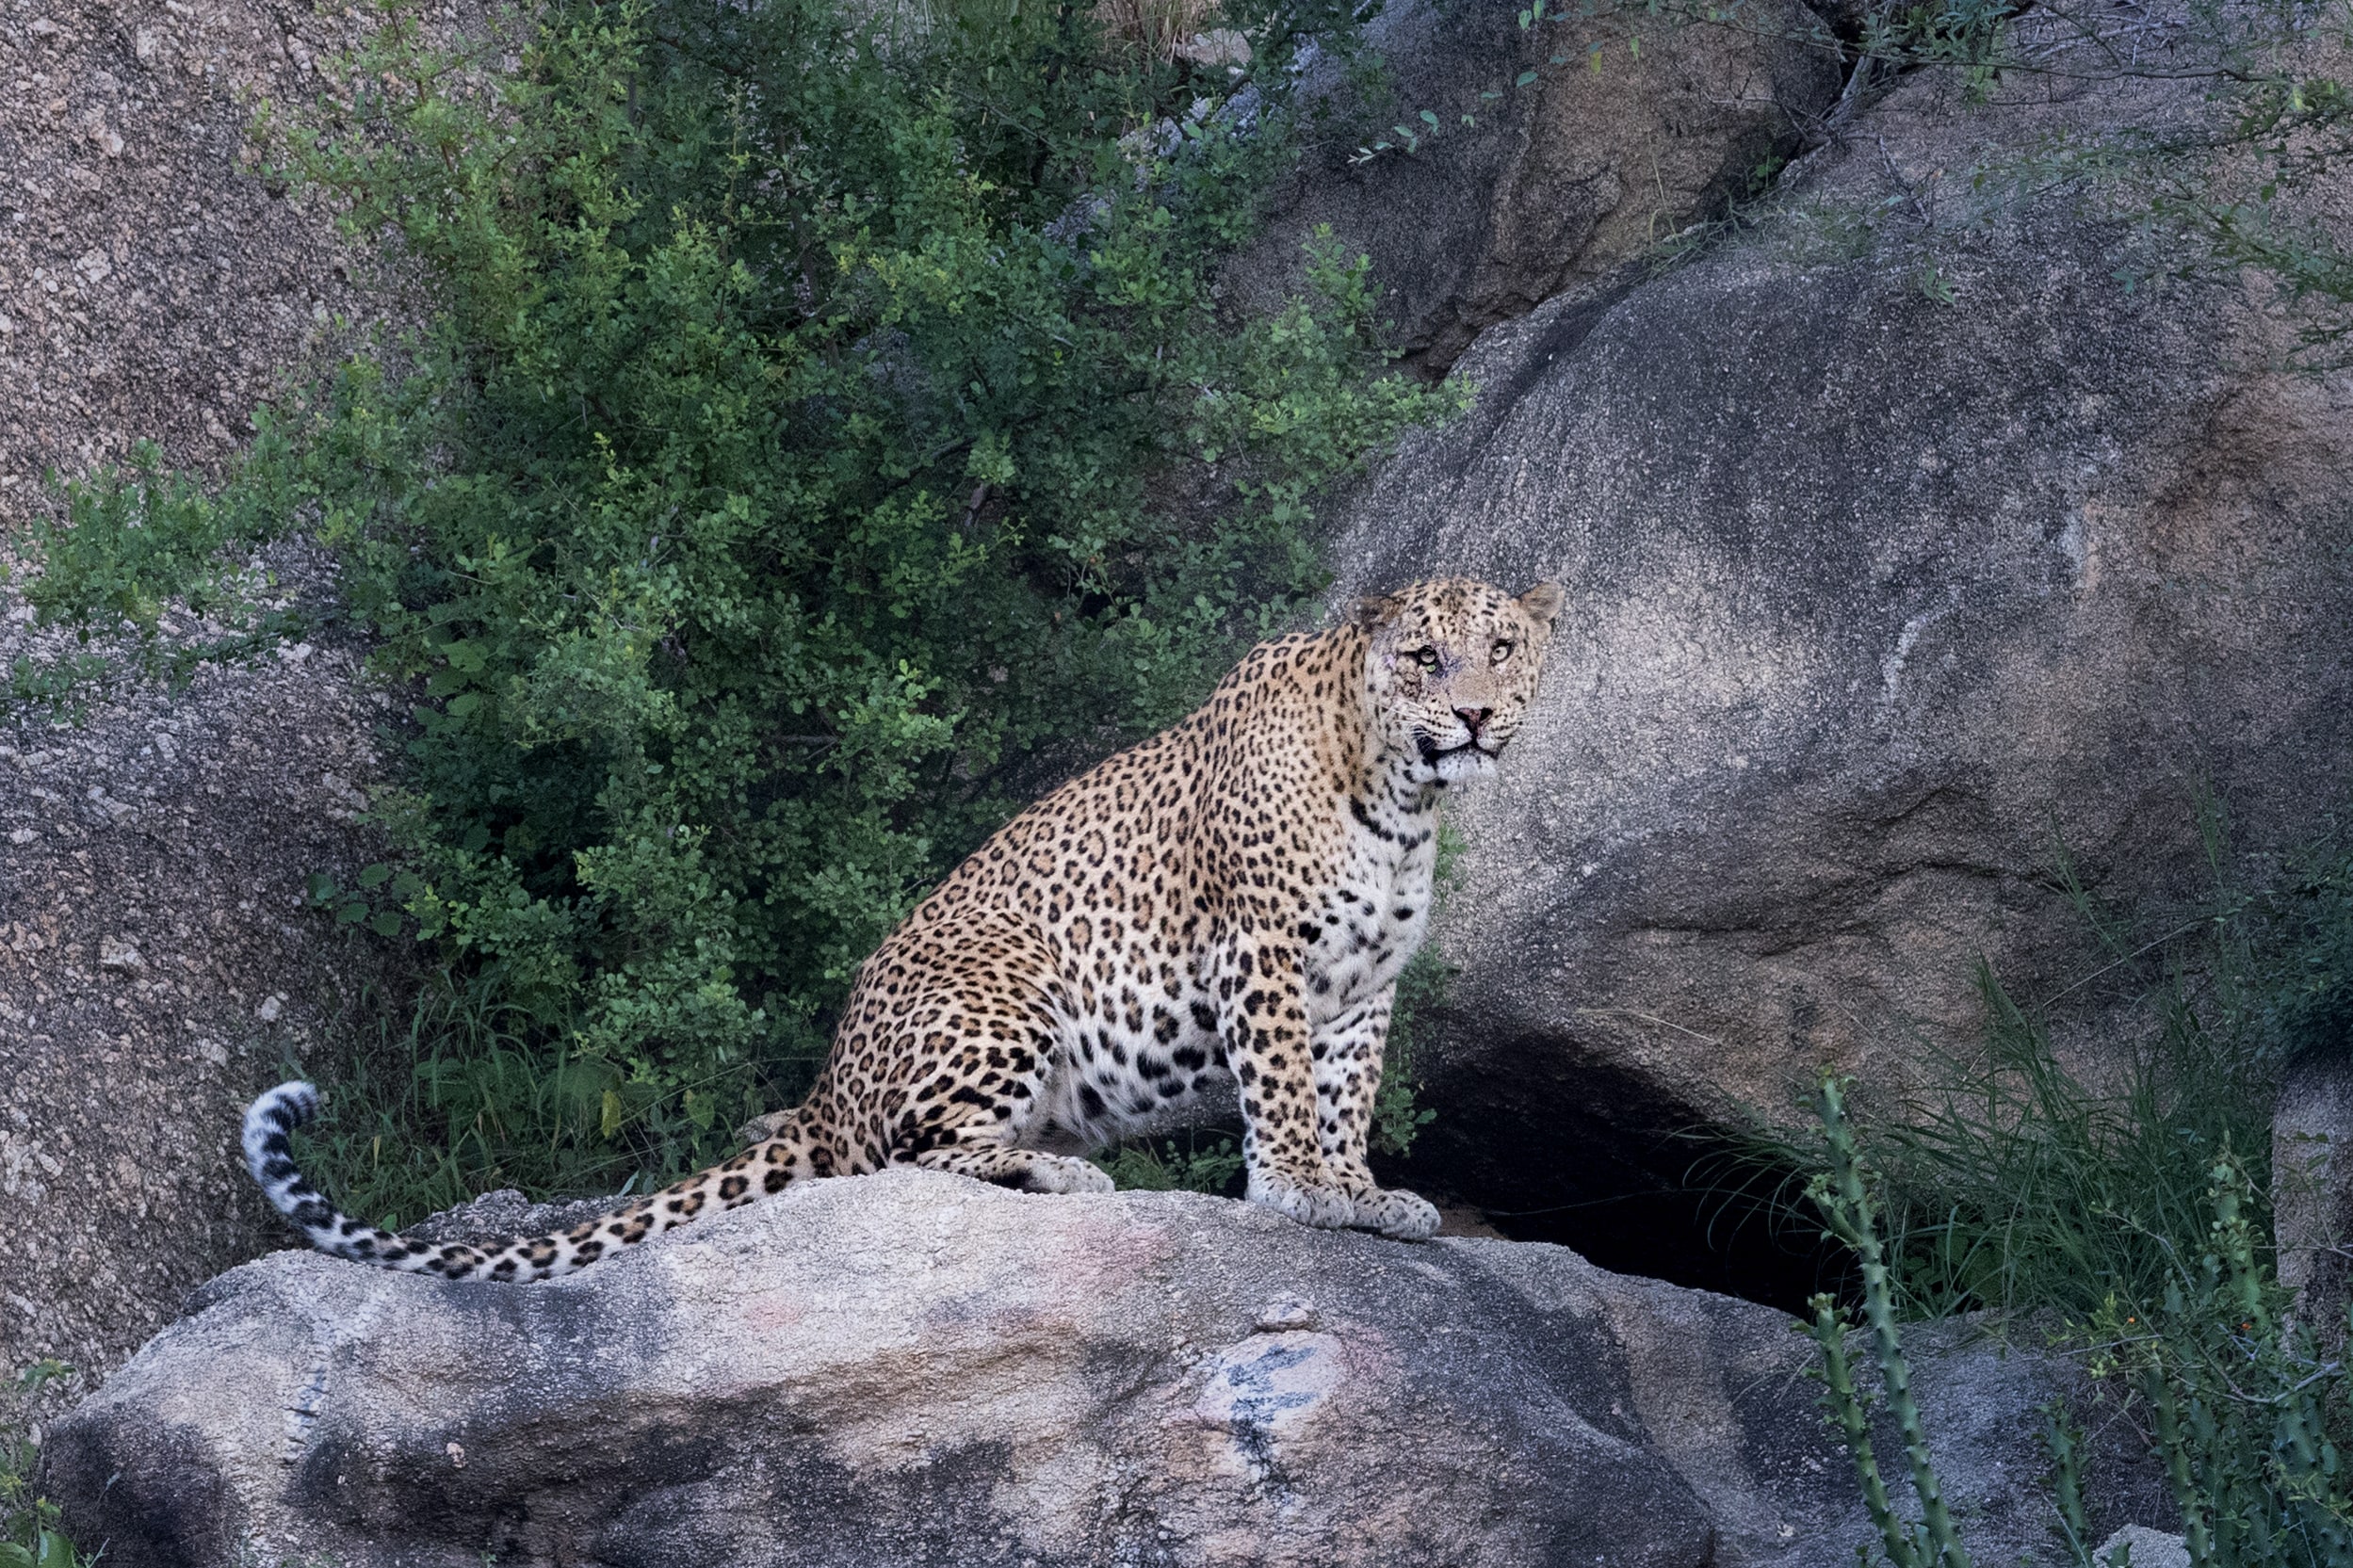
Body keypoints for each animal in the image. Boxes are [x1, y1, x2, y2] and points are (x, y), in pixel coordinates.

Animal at [242, 575, 1566, 1280]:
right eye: (1423, 656)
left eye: (1501, 647)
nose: (1474, 715)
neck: (1399, 798)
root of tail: (825, 1084)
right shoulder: (1262, 954)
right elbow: (1286, 1093)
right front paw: (1301, 1193)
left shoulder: (1364, 985)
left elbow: (1345, 1094)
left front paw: (1362, 1192)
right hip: (1006, 990)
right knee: (908, 1155)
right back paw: (1055, 1171)